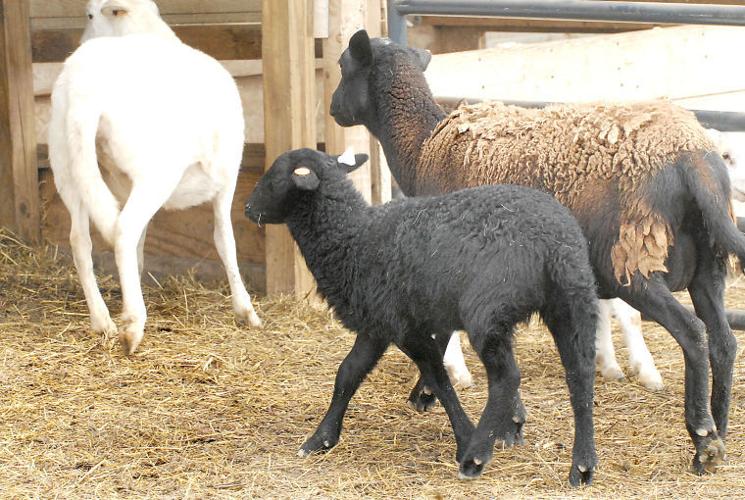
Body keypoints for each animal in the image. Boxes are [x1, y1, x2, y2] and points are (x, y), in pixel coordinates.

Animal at [48, 0, 261, 355]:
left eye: (90, 15)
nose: (79, 38)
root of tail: (85, 92)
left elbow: (141, 247)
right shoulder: (226, 180)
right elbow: (225, 240)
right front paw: (245, 310)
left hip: (68, 164)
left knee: (82, 240)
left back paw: (103, 321)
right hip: (156, 173)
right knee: (123, 230)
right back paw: (133, 325)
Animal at [244, 147, 599, 485]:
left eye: (274, 177)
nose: (248, 208)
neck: (353, 238)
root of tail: (553, 244)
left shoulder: (406, 328)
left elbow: (438, 378)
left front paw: (466, 438)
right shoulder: (378, 324)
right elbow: (348, 373)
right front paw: (321, 439)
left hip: (489, 311)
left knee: (507, 378)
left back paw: (476, 457)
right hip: (573, 301)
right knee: (580, 375)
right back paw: (582, 466)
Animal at [330, 29, 745, 474]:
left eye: (343, 65)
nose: (334, 108)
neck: (423, 147)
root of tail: (695, 159)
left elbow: (449, 339)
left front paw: (481, 414)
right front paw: (506, 422)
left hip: (631, 262)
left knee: (693, 332)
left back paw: (703, 439)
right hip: (707, 266)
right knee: (723, 340)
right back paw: (719, 431)